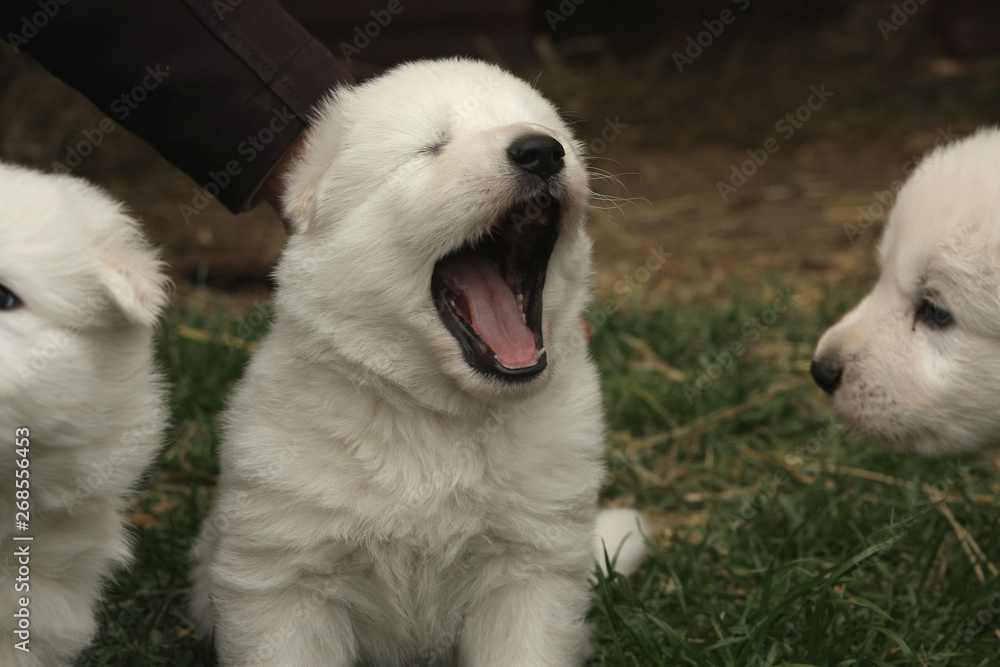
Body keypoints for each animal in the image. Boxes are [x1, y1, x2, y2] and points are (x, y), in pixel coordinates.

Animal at [193, 60, 648, 664]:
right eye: (431, 147)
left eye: (555, 134)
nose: (543, 151)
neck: (437, 415)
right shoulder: (286, 584)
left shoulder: (530, 570)